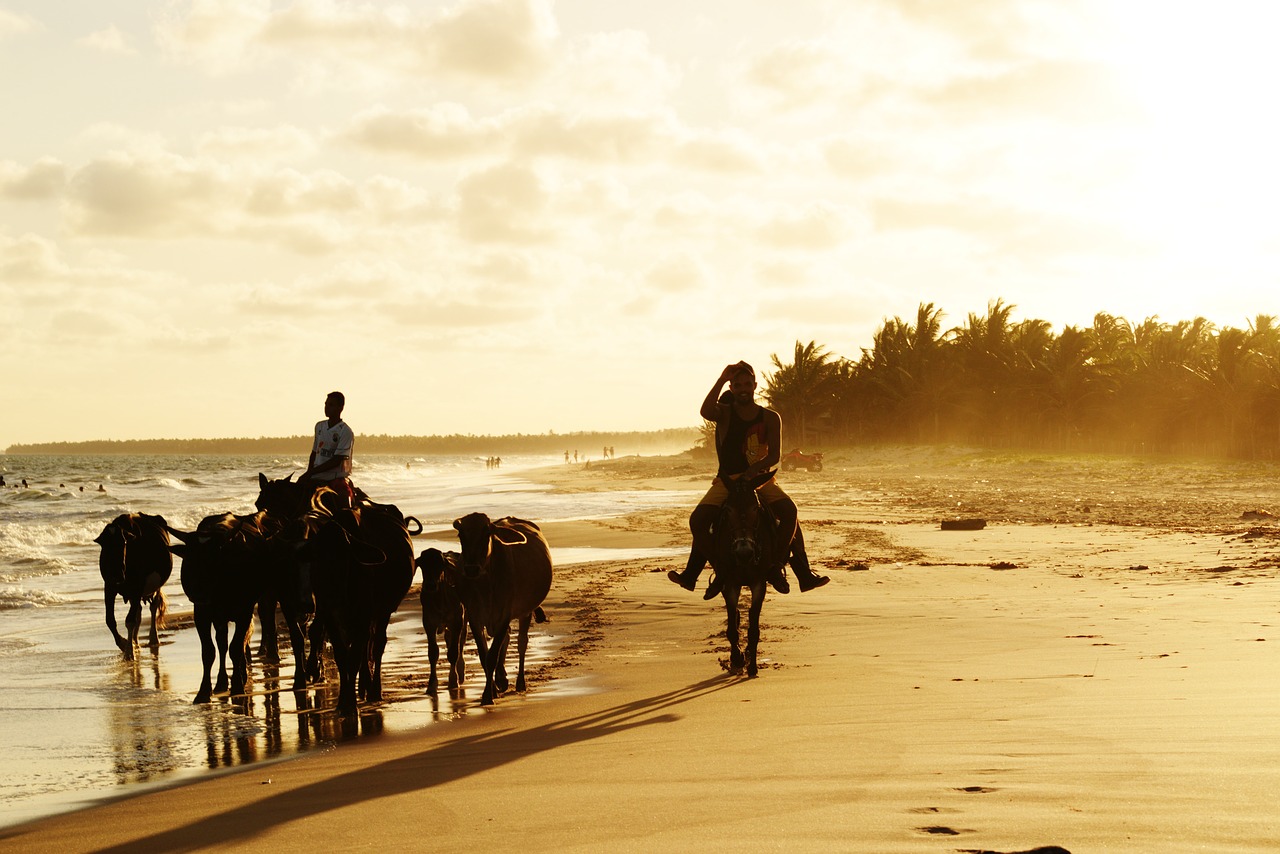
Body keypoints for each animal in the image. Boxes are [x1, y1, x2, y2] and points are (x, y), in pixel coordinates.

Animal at [93, 512, 171, 660]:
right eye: (104, 544)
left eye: (124, 542)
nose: (117, 574)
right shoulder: (109, 587)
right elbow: (110, 620)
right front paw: (124, 644)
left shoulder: (137, 588)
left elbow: (130, 620)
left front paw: (129, 651)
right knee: (138, 612)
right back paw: (136, 641)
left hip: (157, 586)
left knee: (153, 606)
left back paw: (153, 638)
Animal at [450, 514, 550, 706]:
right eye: (461, 535)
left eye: (486, 534)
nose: (471, 568)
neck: (486, 586)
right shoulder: (475, 616)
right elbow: (485, 655)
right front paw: (492, 690)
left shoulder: (505, 614)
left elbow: (492, 656)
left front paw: (488, 695)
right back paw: (501, 679)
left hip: (525, 612)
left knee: (521, 643)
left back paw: (520, 682)